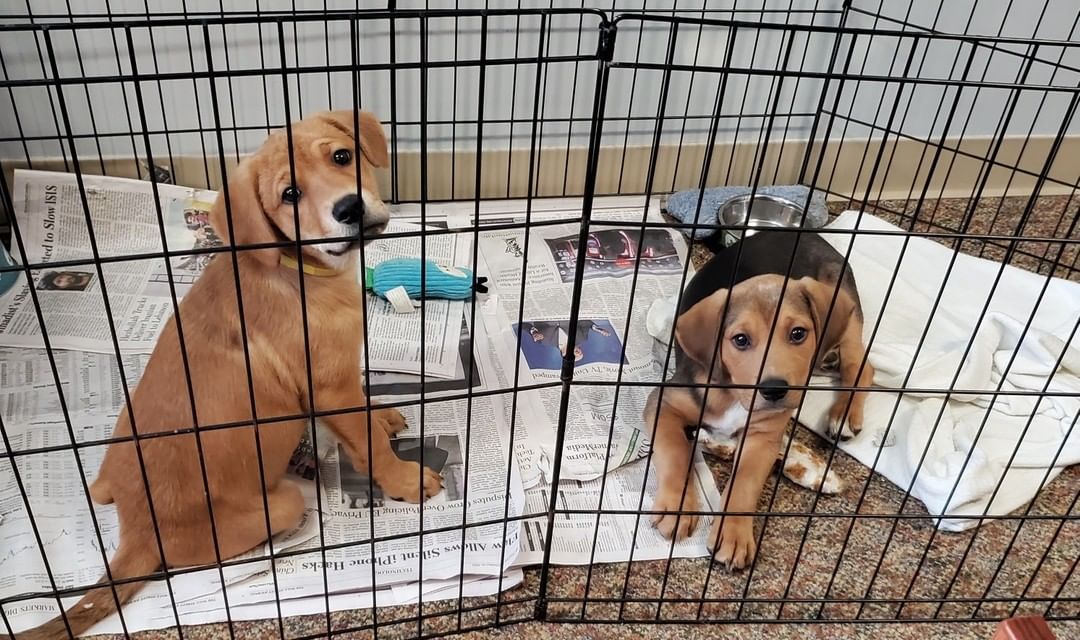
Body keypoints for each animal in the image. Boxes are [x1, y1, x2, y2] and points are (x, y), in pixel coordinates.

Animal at [16, 110, 440, 638]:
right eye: (290, 194)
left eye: (342, 156)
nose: (349, 209)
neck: (299, 266)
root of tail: (137, 536)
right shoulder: (327, 388)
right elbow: (368, 443)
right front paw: (403, 478)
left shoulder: (341, 377)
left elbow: (364, 411)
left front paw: (381, 416)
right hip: (279, 504)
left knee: (100, 489)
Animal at [643, 229, 872, 569]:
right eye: (740, 340)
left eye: (798, 333)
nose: (775, 390)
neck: (735, 394)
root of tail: (810, 234)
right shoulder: (665, 403)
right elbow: (674, 451)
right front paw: (678, 506)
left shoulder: (763, 436)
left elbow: (745, 483)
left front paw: (734, 535)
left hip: (847, 314)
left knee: (862, 364)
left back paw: (844, 414)